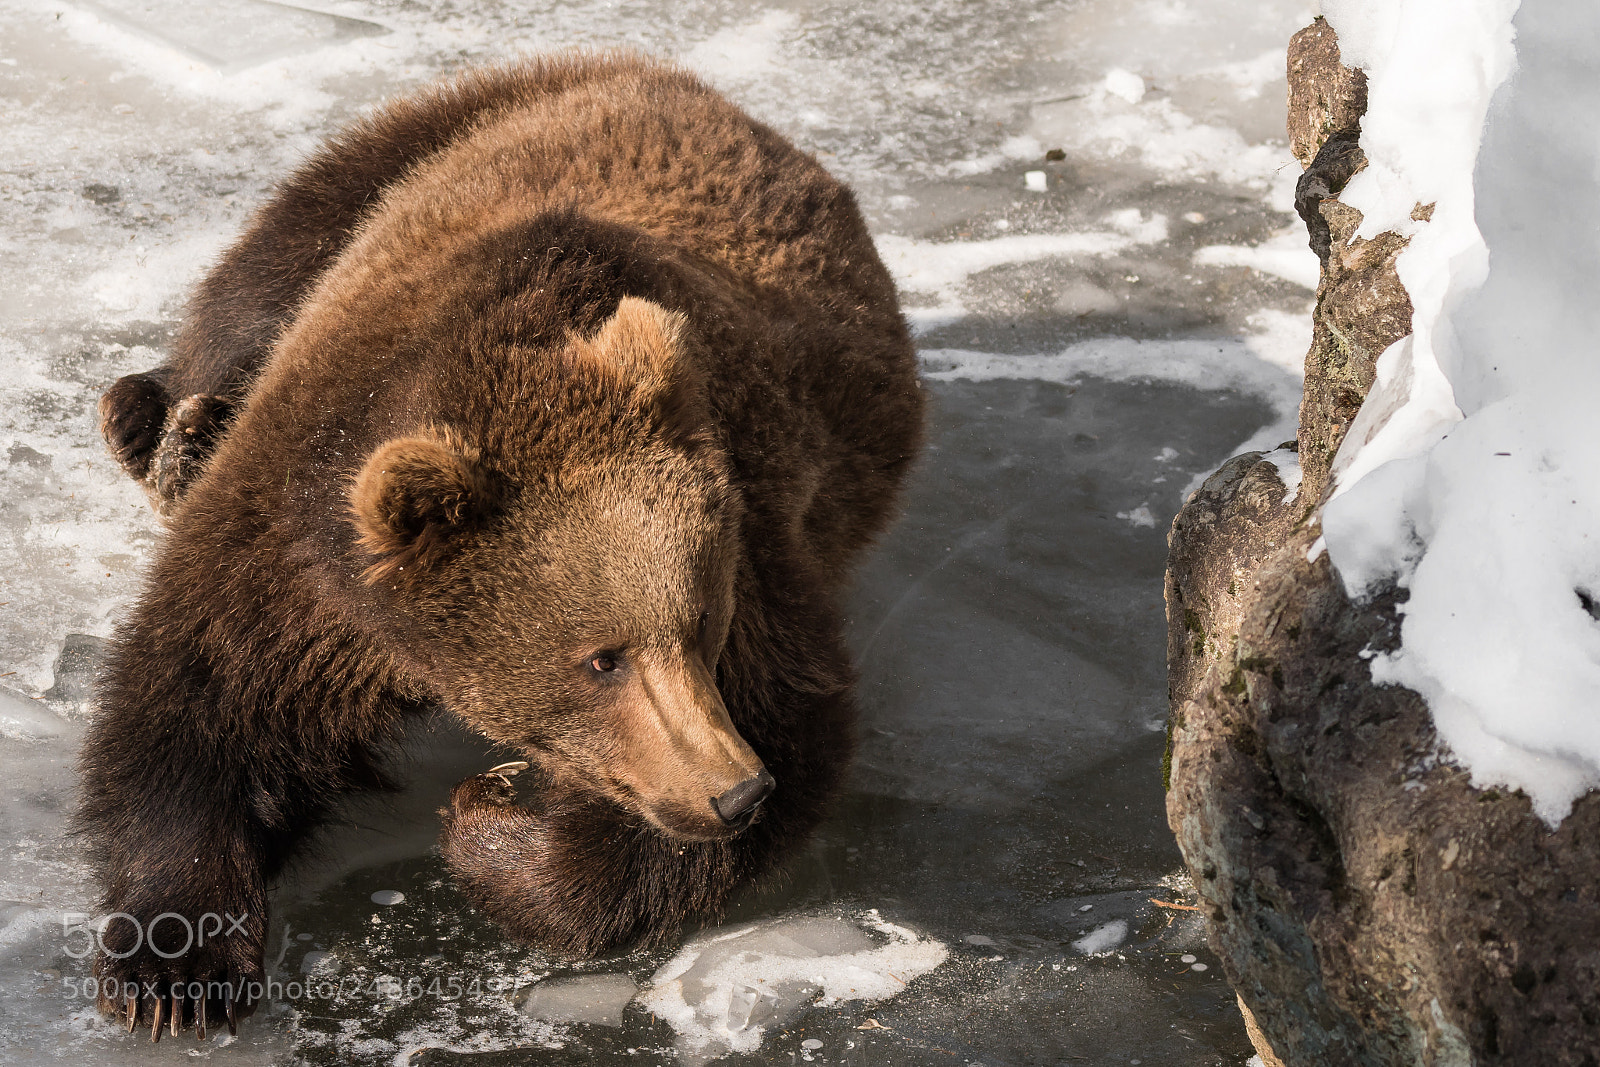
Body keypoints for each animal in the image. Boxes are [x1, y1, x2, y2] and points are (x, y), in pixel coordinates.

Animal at [78, 53, 923, 1042]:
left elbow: (790, 729)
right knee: (261, 273)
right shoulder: (303, 522)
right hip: (419, 141)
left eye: (701, 622)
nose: (734, 789)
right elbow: (202, 697)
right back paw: (166, 428)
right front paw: (172, 965)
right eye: (601, 657)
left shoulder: (752, 538)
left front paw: (500, 819)